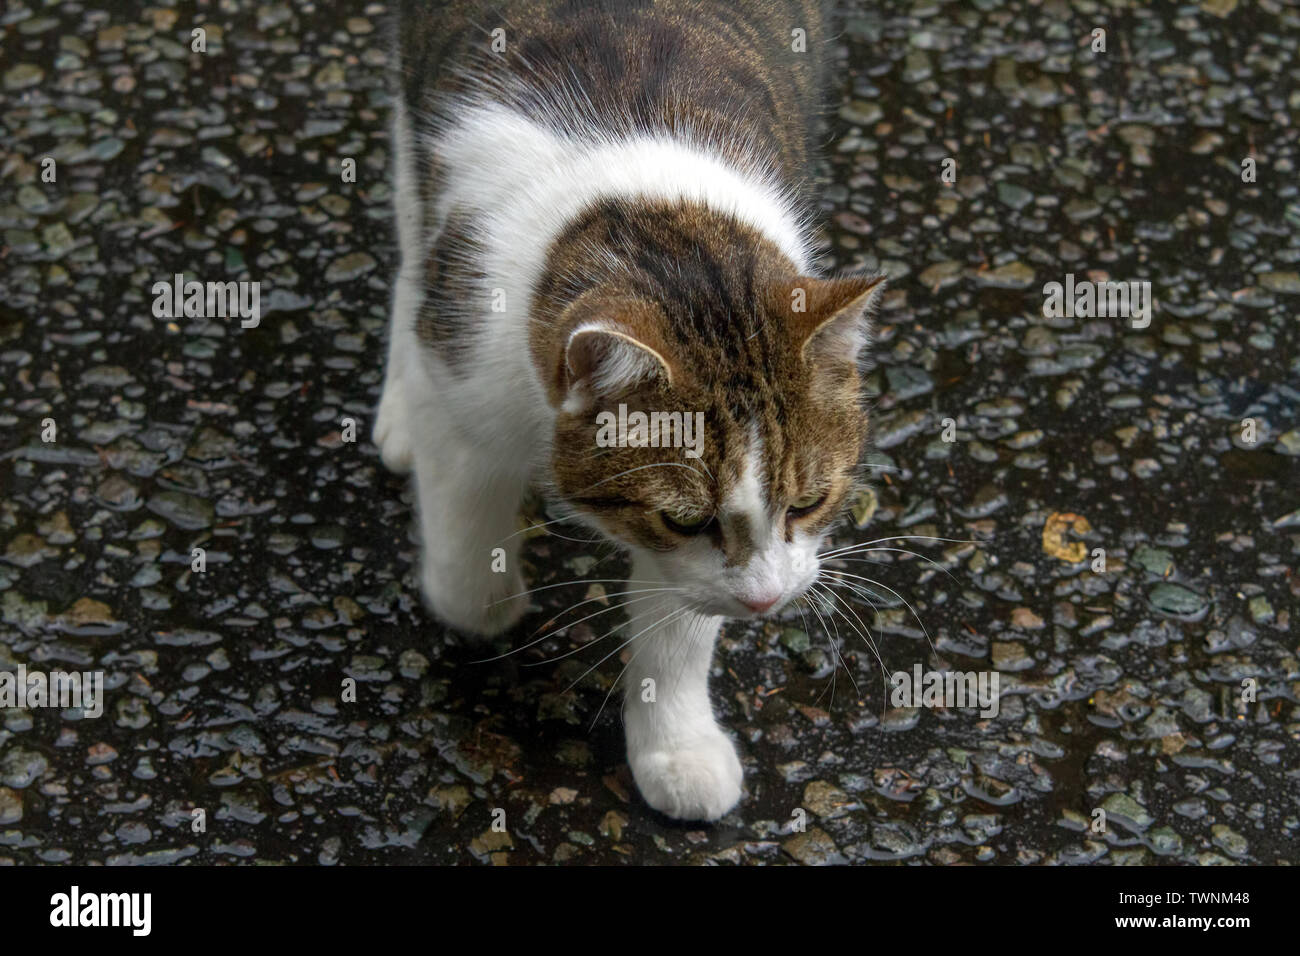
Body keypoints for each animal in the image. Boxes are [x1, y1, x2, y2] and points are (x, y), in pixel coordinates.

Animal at [374, 1, 883, 822]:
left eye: (810, 503)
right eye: (684, 517)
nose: (767, 602)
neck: (648, 205)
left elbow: (680, 626)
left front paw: (676, 747)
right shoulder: (464, 372)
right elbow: (466, 581)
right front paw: (494, 601)